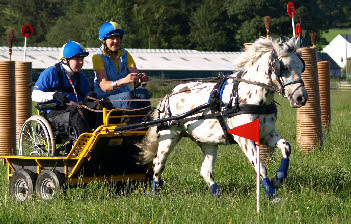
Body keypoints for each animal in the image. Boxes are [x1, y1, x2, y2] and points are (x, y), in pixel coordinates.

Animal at [139, 36, 306, 201]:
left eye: (301, 67)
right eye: (284, 67)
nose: (301, 98)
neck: (249, 96)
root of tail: (168, 95)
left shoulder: (266, 134)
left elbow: (286, 147)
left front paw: (277, 179)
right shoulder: (244, 139)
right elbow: (260, 166)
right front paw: (272, 195)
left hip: (208, 143)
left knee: (205, 171)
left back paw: (218, 195)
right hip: (168, 137)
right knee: (158, 163)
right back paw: (155, 193)